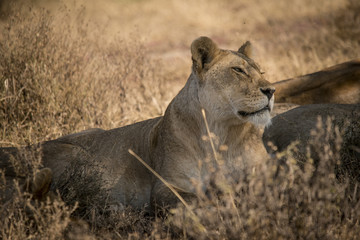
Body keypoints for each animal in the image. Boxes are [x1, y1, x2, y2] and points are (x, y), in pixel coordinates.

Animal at [0, 36, 276, 211]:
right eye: (238, 71)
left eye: (261, 71)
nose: (271, 90)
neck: (221, 132)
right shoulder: (166, 187)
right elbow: (198, 200)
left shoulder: (264, 174)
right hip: (74, 154)